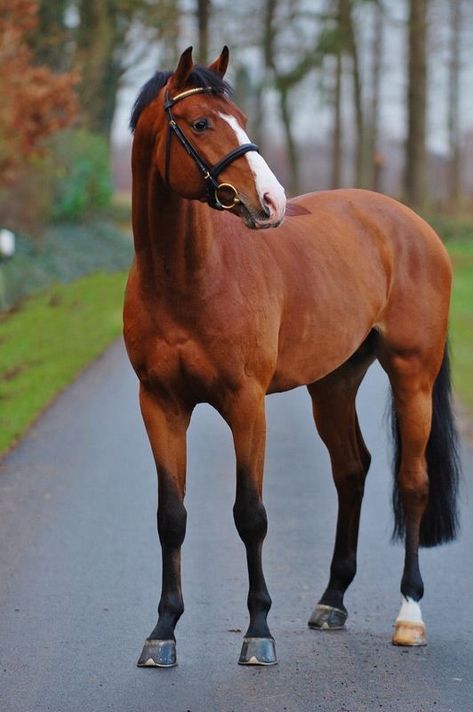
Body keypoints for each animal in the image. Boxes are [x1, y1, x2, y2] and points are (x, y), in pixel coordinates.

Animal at [124, 46, 458, 668]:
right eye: (200, 123)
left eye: (241, 119)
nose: (271, 202)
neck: (187, 279)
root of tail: (412, 225)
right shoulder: (159, 405)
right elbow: (170, 517)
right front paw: (162, 632)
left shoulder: (245, 403)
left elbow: (250, 515)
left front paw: (259, 632)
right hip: (333, 383)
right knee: (352, 470)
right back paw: (332, 601)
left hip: (413, 375)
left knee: (412, 482)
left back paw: (409, 616)